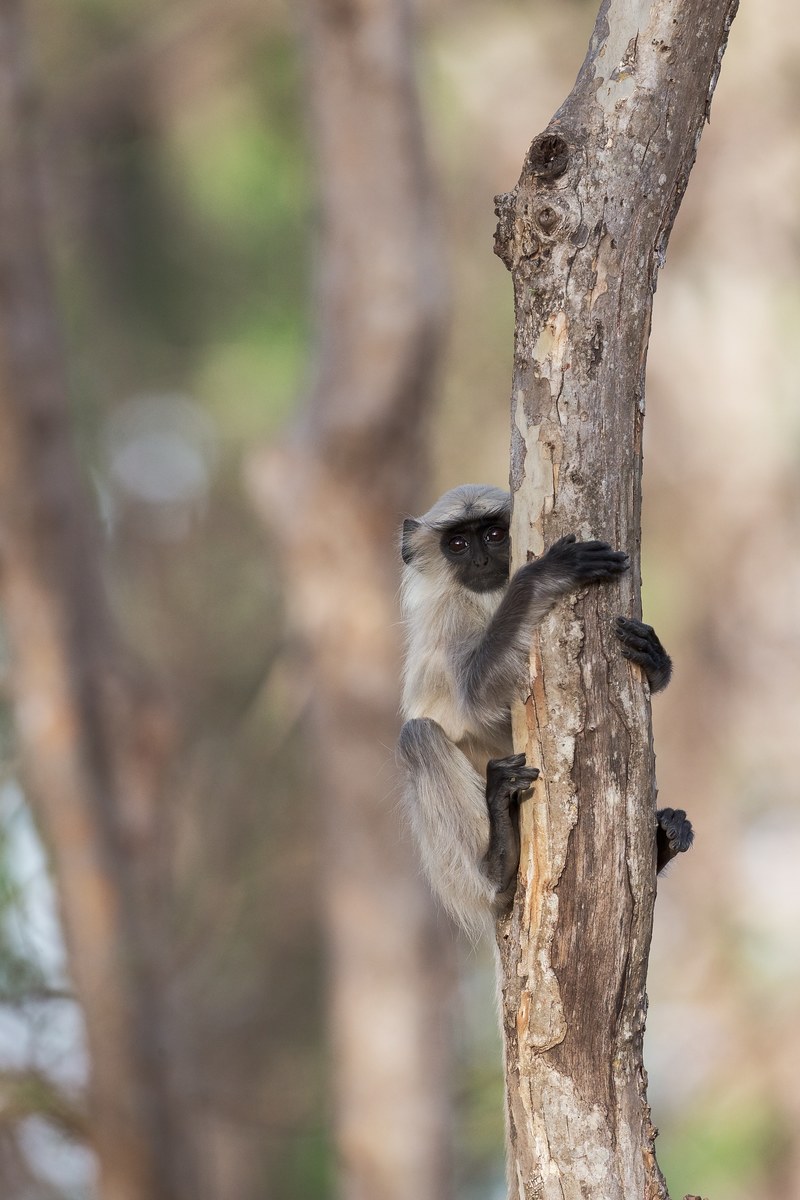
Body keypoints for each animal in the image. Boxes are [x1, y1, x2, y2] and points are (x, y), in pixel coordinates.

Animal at [397, 484, 692, 935]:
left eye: (494, 535)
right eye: (458, 544)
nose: (480, 560)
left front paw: (655, 658)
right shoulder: (448, 618)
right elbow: (475, 698)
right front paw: (544, 575)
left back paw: (662, 842)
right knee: (417, 737)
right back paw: (497, 864)